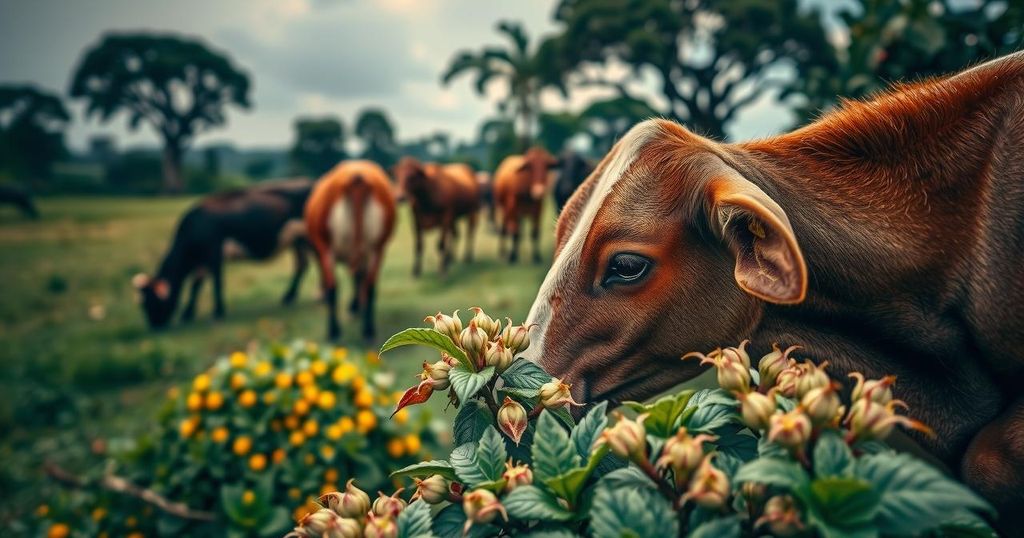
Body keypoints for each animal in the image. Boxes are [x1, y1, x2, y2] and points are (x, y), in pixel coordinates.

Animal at [134, 178, 313, 327]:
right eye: (143, 305)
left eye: (153, 302)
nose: (155, 326)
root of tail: (307, 181)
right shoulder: (202, 260)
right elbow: (196, 285)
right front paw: (188, 314)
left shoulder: (214, 253)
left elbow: (217, 283)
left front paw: (218, 312)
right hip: (297, 240)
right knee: (302, 265)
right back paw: (288, 297)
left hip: (307, 236)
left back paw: (316, 296)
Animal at [303, 157, 395, 340]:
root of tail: (356, 177)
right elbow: (360, 278)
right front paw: (356, 305)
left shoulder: (323, 248)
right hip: (377, 248)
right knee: (369, 284)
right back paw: (368, 329)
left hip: (327, 247)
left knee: (334, 287)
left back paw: (334, 330)